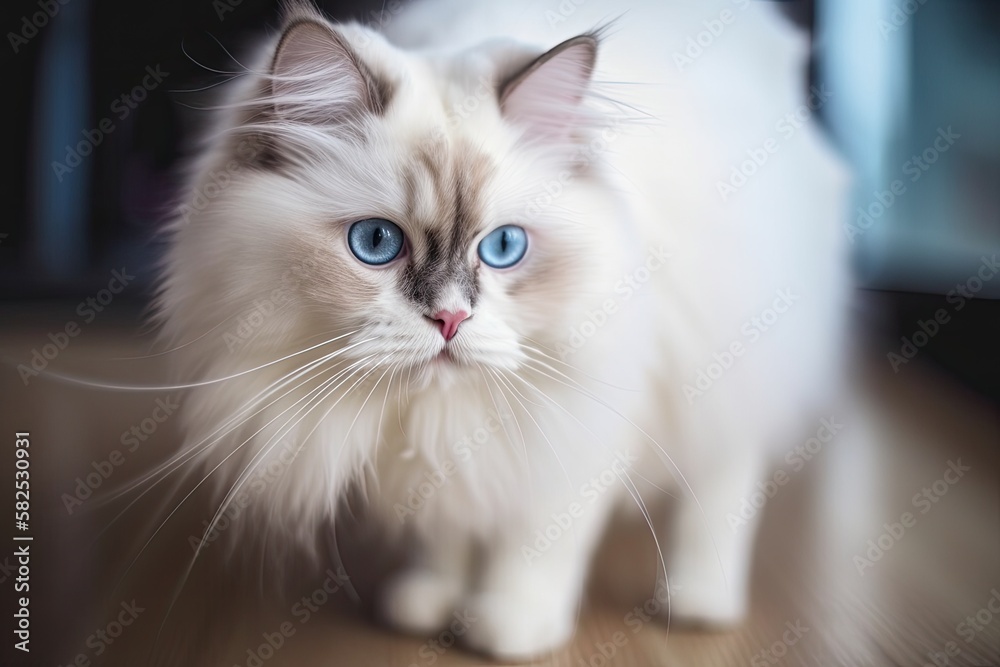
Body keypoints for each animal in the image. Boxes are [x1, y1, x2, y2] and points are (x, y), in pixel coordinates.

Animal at [160, 0, 848, 656]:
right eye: (376, 243)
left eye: (504, 247)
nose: (450, 318)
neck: (438, 411)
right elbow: (443, 527)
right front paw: (430, 601)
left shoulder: (575, 423)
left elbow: (536, 541)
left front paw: (508, 625)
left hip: (730, 359)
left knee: (723, 475)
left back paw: (700, 598)